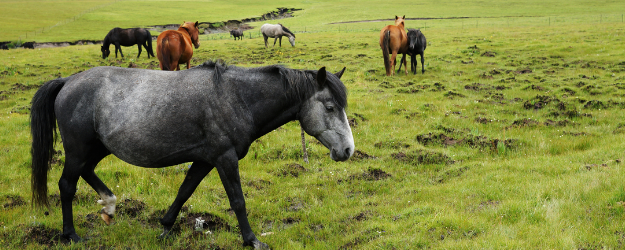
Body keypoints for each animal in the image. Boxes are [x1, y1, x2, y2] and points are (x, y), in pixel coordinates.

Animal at [31, 60, 354, 248]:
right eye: (329, 107)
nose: (348, 150)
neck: (235, 97)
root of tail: (67, 81)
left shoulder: (204, 159)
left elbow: (184, 191)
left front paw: (165, 228)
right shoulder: (225, 158)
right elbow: (238, 201)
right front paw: (251, 240)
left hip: (97, 148)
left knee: (86, 172)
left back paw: (109, 206)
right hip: (78, 149)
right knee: (67, 185)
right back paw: (71, 235)